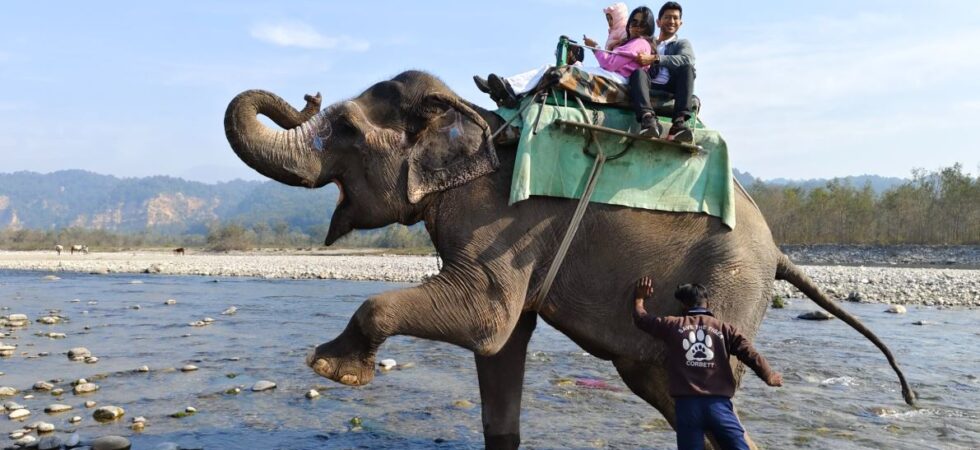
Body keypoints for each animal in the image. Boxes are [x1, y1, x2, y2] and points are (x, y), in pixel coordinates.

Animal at [224, 71, 914, 449]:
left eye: (344, 130)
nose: (308, 95)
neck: (471, 117)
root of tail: (778, 251)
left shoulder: (504, 222)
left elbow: (485, 320)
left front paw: (331, 369)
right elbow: (501, 343)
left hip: (730, 283)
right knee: (660, 387)